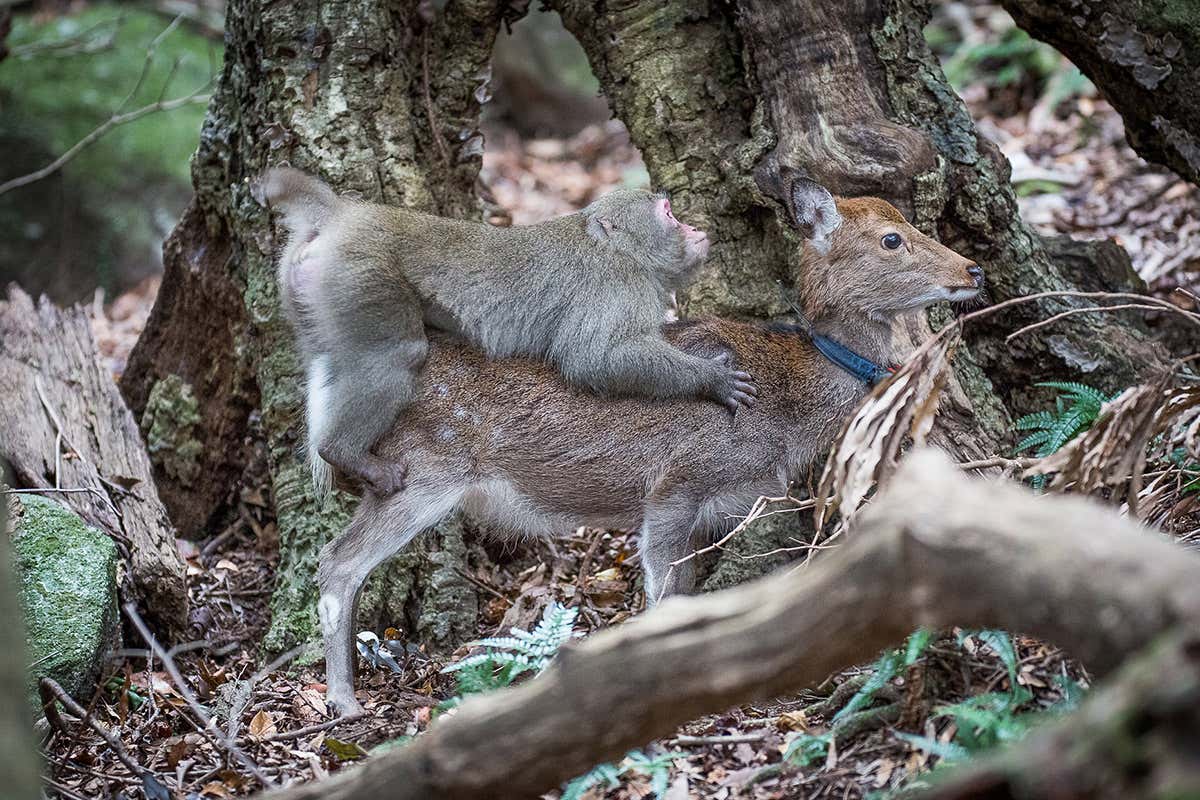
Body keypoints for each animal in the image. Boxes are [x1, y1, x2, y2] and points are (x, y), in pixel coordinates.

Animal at [257, 168, 757, 497]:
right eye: (669, 214)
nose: (693, 227)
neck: (621, 250)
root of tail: (345, 216)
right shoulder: (616, 284)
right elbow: (595, 358)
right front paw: (710, 378)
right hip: (360, 273)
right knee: (397, 354)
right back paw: (344, 453)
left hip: (312, 289)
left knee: (329, 360)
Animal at [313, 178, 985, 714]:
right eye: (892, 240)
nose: (972, 270)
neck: (784, 408)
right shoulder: (675, 484)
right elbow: (661, 600)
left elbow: (683, 598)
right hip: (422, 469)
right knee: (338, 561)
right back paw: (345, 702)